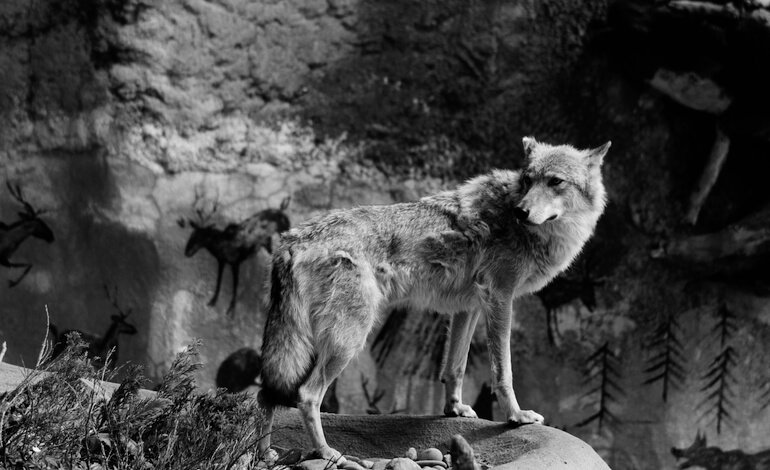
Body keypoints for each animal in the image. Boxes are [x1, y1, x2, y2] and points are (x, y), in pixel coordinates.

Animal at [257, 137, 611, 461]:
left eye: (555, 181)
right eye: (528, 179)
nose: (521, 211)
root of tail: (291, 239)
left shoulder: (470, 307)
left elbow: (455, 367)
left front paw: (454, 409)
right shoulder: (500, 297)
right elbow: (503, 371)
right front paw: (516, 416)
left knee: (265, 394)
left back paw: (263, 454)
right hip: (348, 341)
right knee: (306, 395)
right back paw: (327, 453)